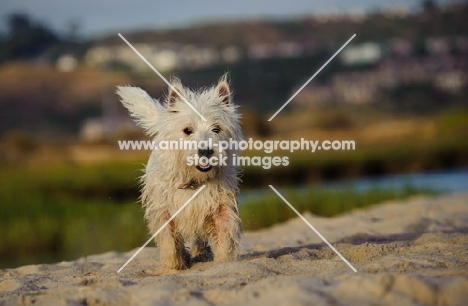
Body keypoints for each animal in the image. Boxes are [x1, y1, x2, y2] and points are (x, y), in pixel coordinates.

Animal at [116, 75, 243, 268]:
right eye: (187, 130)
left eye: (216, 128)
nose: (205, 150)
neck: (194, 180)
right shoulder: (164, 210)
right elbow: (169, 242)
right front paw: (173, 266)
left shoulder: (221, 207)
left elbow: (225, 237)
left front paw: (224, 262)